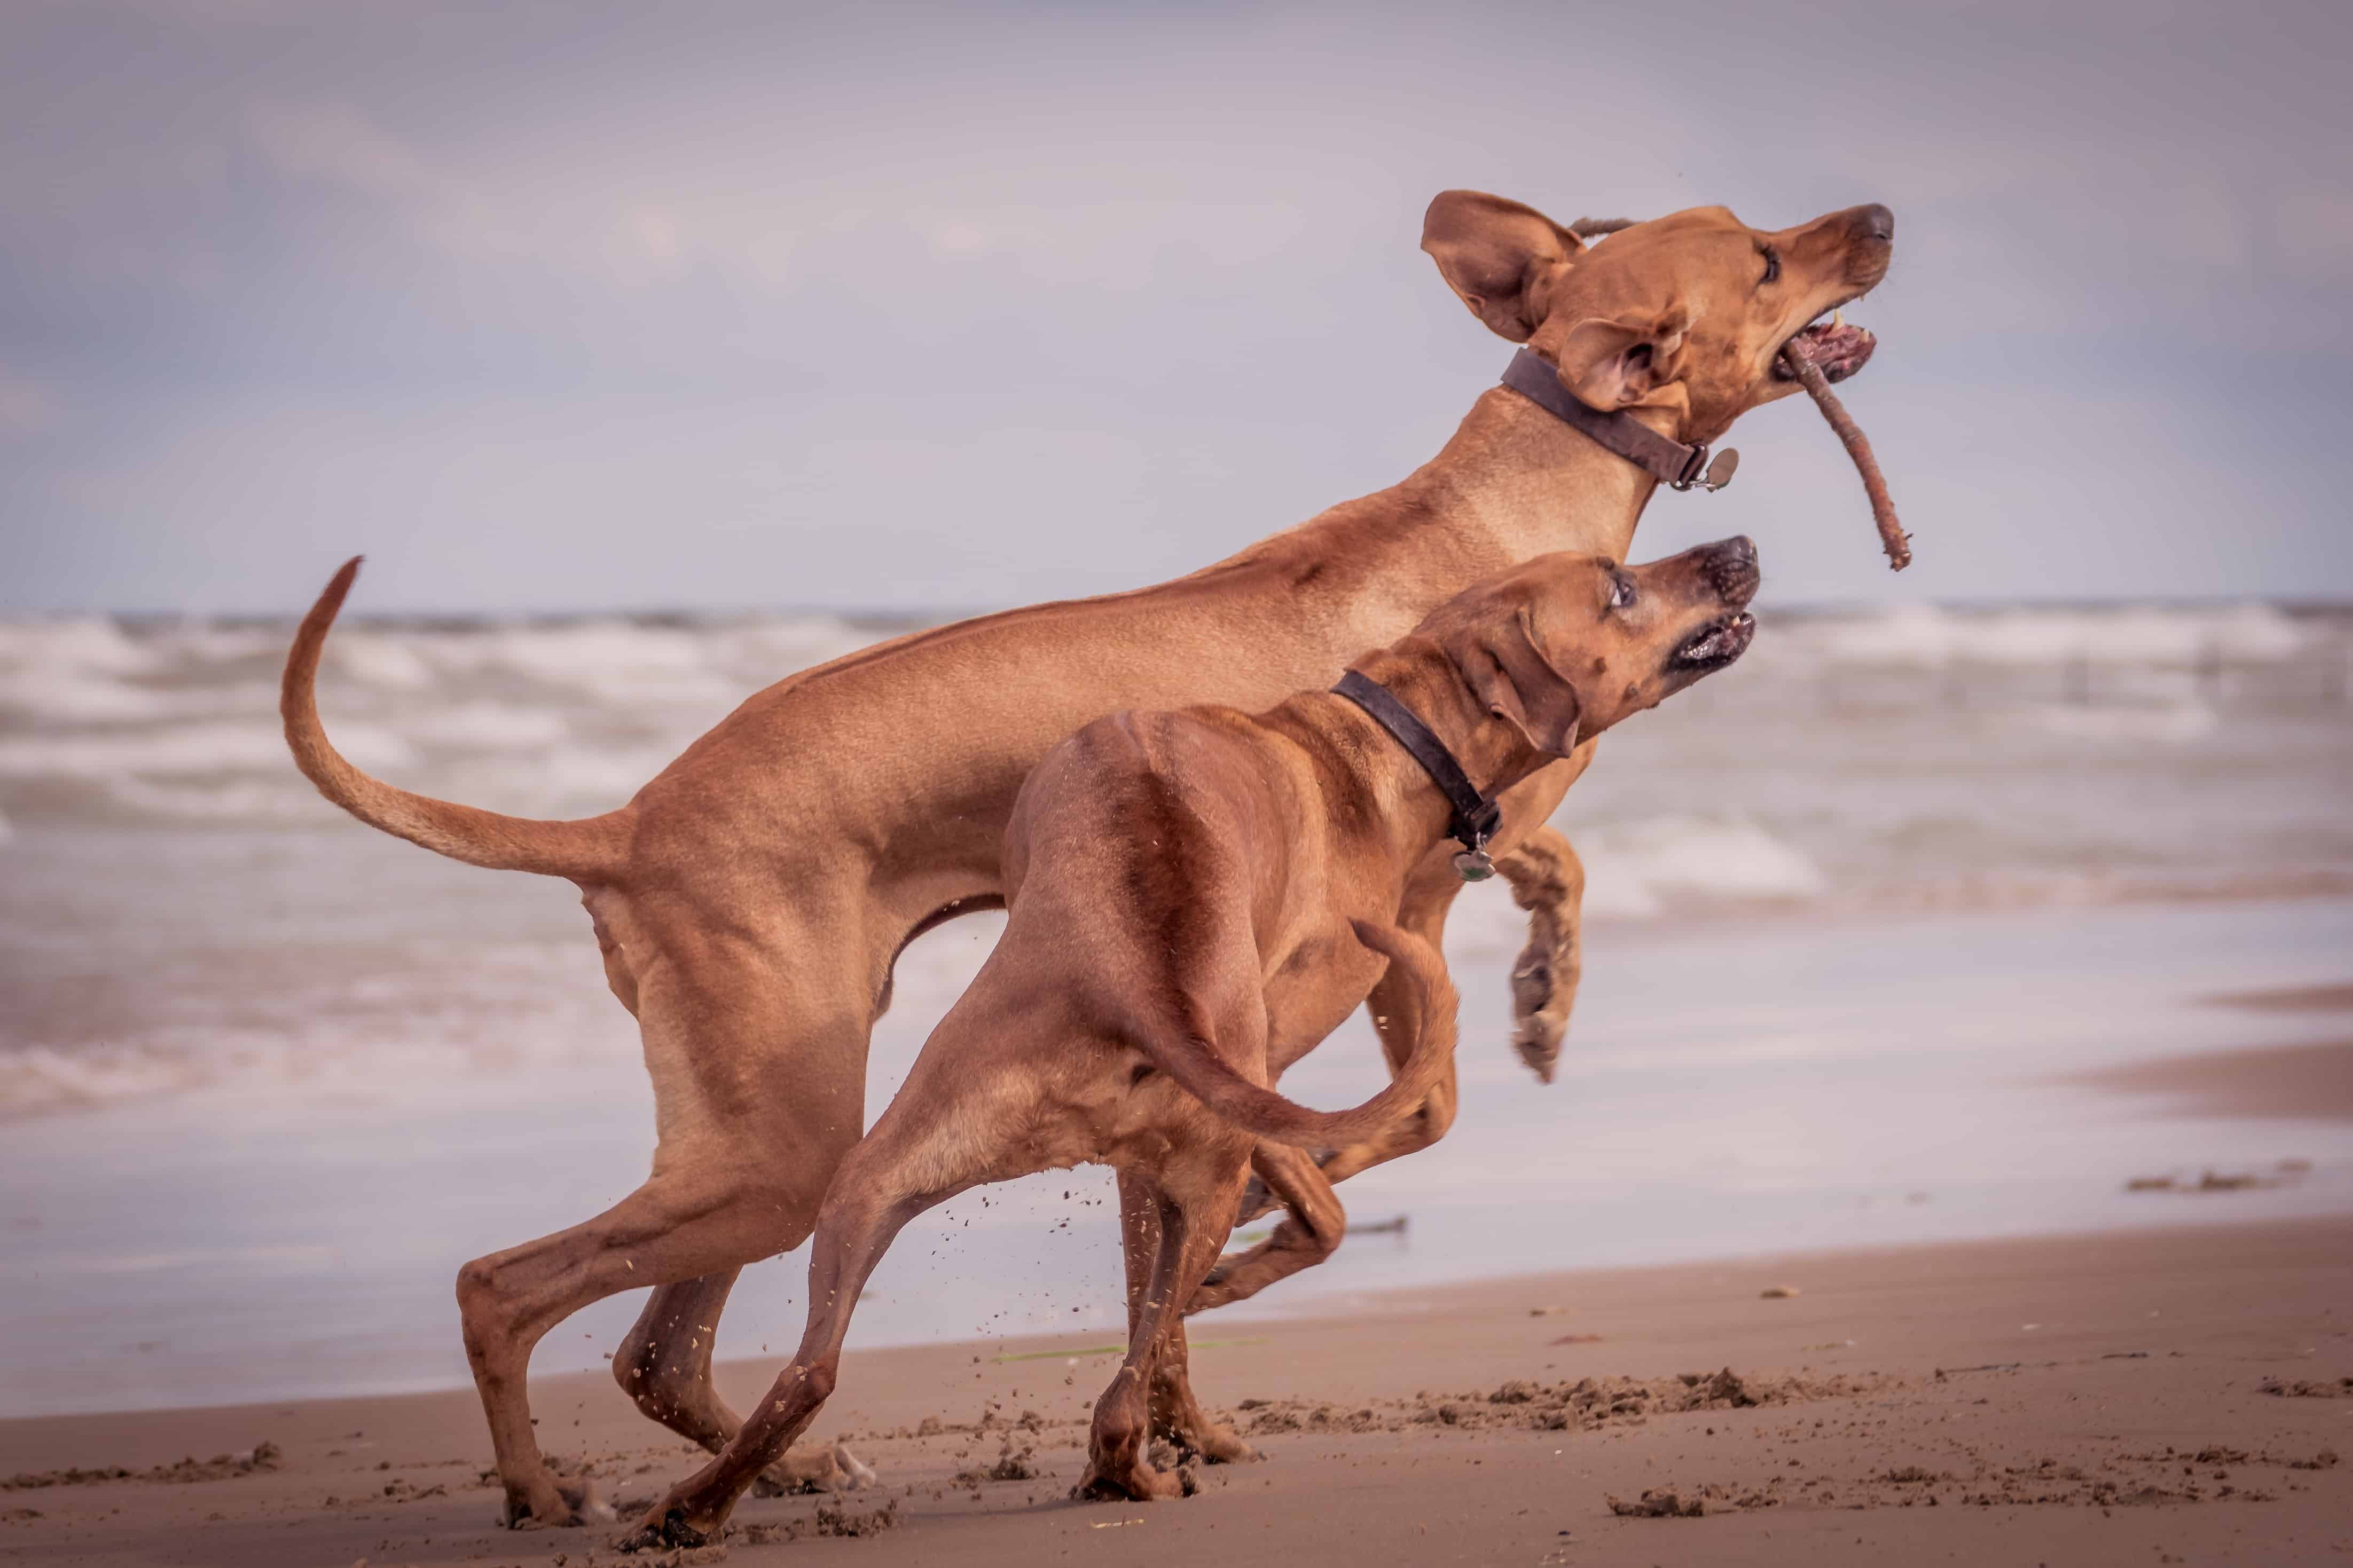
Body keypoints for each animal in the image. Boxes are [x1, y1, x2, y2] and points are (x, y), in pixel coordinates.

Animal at [616, 540, 1760, 1542]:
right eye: (1618, 587)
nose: (1740, 546)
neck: (1378, 738)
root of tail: (1138, 975)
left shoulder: (1228, 1114)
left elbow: (1247, 1250)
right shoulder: (1260, 1085)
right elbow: (1304, 1215)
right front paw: (1244, 1277)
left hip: (888, 1177)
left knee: (858, 1369)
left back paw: (701, 1509)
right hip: (1059, 1150)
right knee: (1119, 1364)